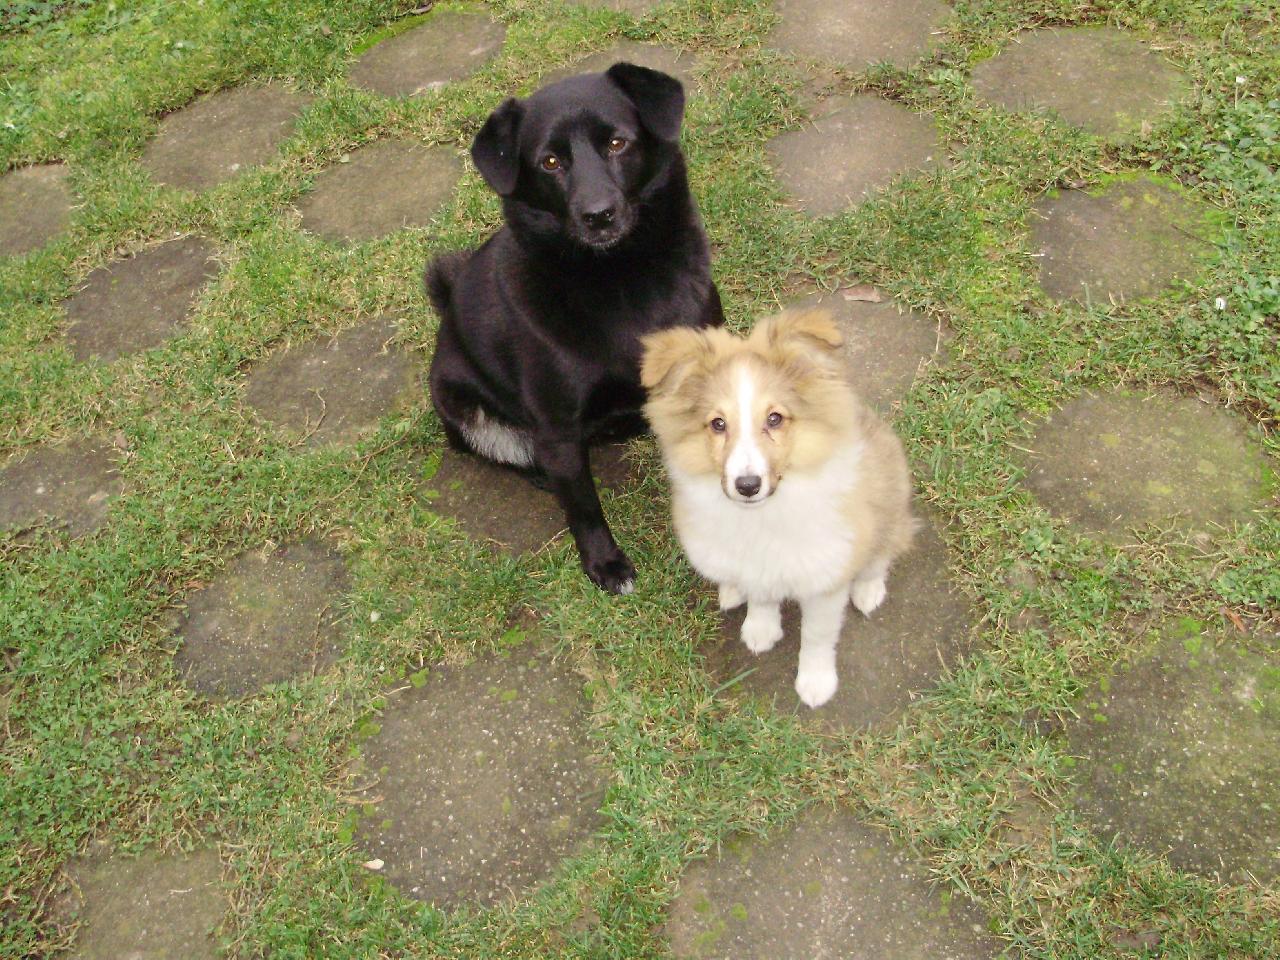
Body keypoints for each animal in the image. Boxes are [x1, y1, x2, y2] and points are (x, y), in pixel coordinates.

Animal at [426, 63, 723, 594]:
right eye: (549, 162)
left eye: (617, 143)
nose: (598, 215)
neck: (618, 277)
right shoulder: (558, 429)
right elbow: (584, 508)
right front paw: (605, 564)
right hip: (468, 410)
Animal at [641, 308, 915, 707]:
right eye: (718, 424)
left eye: (775, 418)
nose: (747, 486)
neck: (764, 513)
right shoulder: (757, 563)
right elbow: (761, 595)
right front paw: (761, 628)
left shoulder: (825, 578)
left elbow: (817, 636)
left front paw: (816, 683)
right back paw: (732, 590)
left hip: (888, 503)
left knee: (882, 553)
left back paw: (868, 591)